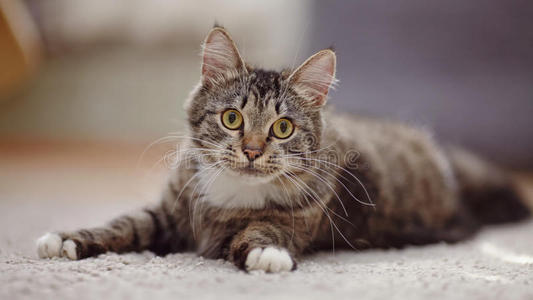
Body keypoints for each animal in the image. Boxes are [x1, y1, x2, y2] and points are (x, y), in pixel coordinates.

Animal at [36, 27, 528, 274]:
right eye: (232, 119)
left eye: (283, 127)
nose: (253, 150)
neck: (232, 193)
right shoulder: (171, 211)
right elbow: (125, 224)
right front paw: (68, 239)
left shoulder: (296, 219)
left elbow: (259, 231)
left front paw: (265, 255)